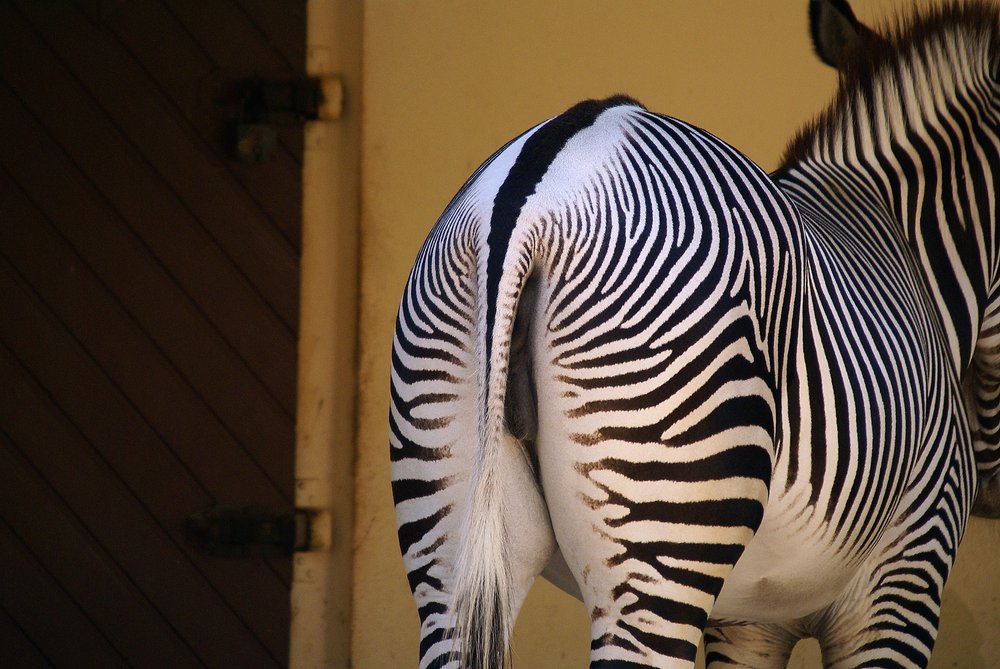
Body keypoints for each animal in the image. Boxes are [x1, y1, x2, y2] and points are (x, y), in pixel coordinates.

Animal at [389, 1, 1000, 667]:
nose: (992, 500)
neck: (903, 241)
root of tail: (538, 187)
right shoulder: (905, 574)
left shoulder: (747, 620)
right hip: (662, 527)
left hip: (446, 533)